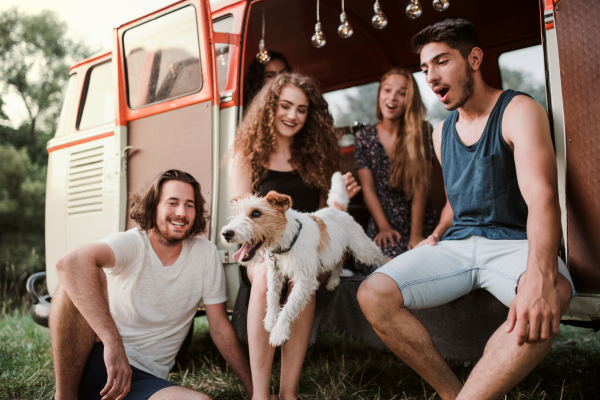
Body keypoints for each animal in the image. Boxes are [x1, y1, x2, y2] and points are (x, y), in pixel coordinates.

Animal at [220, 171, 384, 344]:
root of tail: (337, 209)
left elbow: (289, 307)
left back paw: (383, 266)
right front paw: (270, 321)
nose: (226, 233)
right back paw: (333, 281)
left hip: (362, 249)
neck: (286, 242)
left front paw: (278, 332)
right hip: (336, 251)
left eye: (256, 213)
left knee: (378, 254)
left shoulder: (305, 280)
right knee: (338, 262)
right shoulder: (274, 273)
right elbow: (271, 296)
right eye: (237, 214)